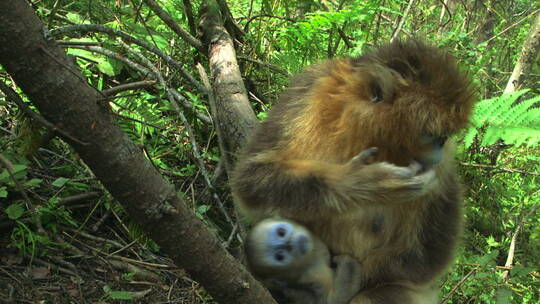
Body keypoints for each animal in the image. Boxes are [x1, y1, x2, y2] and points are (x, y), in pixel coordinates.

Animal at [230, 40, 474, 304]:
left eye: (445, 138)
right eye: (434, 136)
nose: (439, 150)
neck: (369, 136)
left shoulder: (443, 167)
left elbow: (426, 259)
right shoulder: (312, 88)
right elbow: (252, 177)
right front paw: (363, 182)